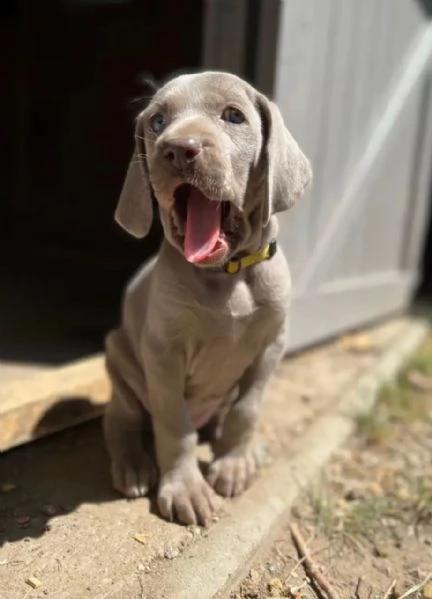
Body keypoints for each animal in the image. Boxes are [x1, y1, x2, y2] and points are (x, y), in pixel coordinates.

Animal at [103, 70, 312, 524]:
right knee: (121, 419)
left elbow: (246, 410)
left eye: (233, 116)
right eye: (157, 122)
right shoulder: (164, 354)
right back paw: (132, 465)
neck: (228, 275)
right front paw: (185, 489)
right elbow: (174, 426)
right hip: (117, 356)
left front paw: (234, 463)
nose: (179, 149)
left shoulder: (272, 344)